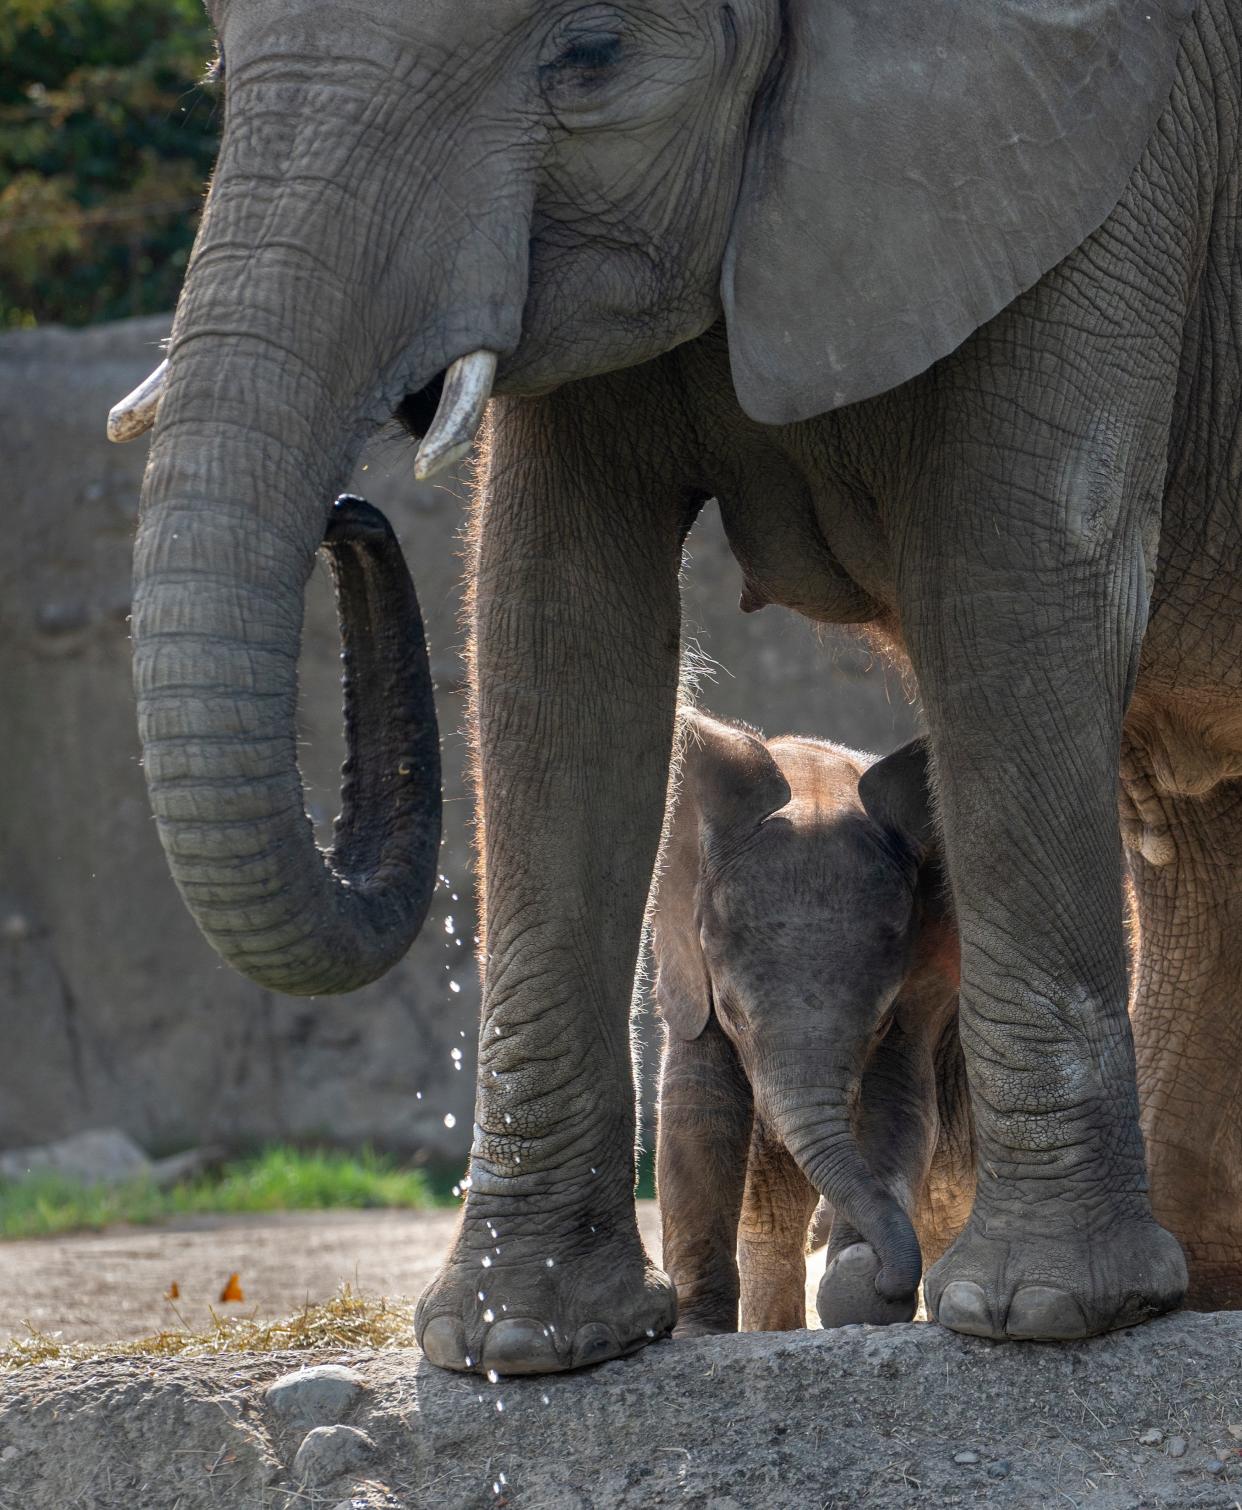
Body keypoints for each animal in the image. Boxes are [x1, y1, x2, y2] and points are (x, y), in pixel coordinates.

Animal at [654, 709, 977, 1334]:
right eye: (732, 1014)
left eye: (881, 1022)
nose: (886, 1274)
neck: (815, 777)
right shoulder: (689, 975)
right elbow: (696, 1113)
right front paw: (695, 1332)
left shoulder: (923, 992)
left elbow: (897, 1107)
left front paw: (857, 1284)